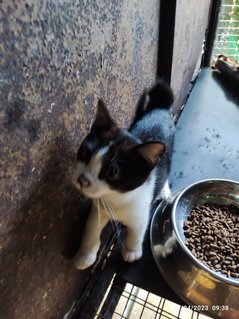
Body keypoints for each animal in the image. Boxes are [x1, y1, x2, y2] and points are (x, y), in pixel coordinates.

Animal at [72, 81, 175, 272]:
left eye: (112, 172)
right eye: (85, 154)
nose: (83, 180)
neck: (116, 198)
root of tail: (161, 107)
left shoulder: (141, 209)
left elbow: (137, 230)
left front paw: (132, 251)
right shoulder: (99, 206)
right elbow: (91, 226)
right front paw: (85, 255)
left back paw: (164, 190)